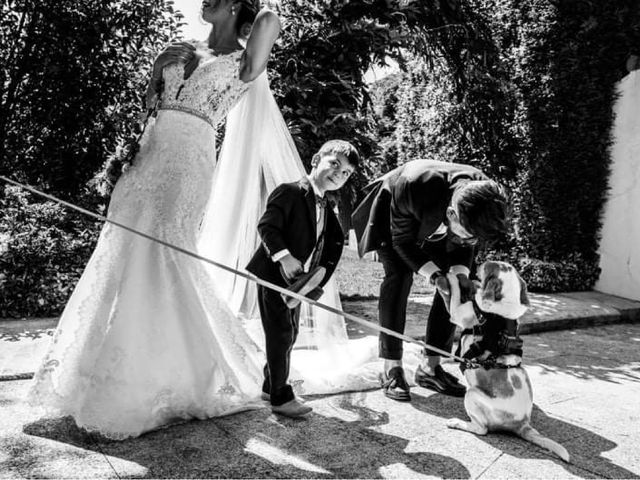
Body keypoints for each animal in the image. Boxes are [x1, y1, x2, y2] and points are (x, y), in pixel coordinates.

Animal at [444, 260, 568, 464]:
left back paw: (458, 423)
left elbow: (454, 294)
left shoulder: (459, 313)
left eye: (486, 267)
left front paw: (453, 276)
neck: (503, 312)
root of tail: (522, 424)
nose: (479, 262)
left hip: (472, 394)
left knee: (482, 429)